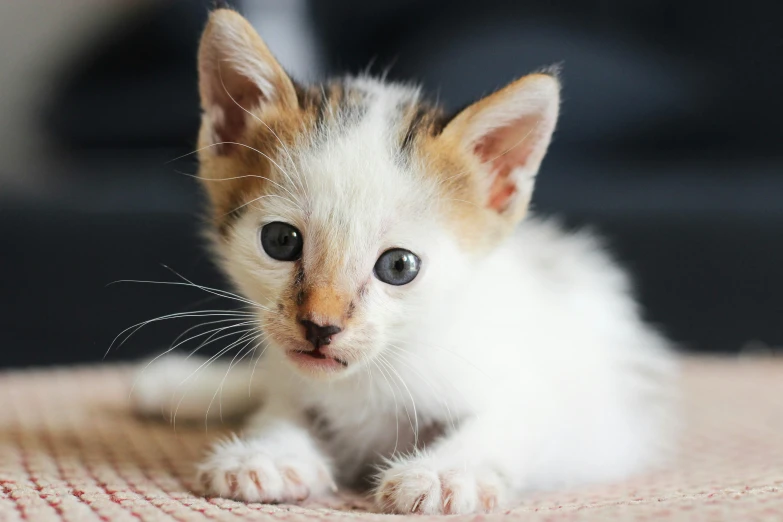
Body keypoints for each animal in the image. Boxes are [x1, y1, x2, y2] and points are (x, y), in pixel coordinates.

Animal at [133, 7, 672, 512]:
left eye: (398, 267)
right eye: (281, 241)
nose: (320, 327)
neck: (374, 372)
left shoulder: (560, 406)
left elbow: (509, 421)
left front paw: (446, 473)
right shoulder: (296, 378)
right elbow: (282, 408)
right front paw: (268, 455)